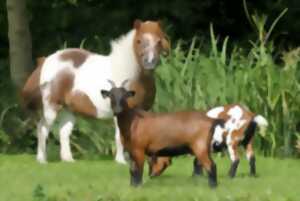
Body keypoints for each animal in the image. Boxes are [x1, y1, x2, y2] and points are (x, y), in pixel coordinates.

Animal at [21, 20, 169, 163]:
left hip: (68, 110)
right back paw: (42, 160)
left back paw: (68, 160)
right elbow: (119, 137)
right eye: (139, 40)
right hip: (51, 108)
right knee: (42, 128)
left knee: (64, 132)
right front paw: (121, 161)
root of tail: (46, 61)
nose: (149, 62)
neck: (129, 75)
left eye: (159, 40)